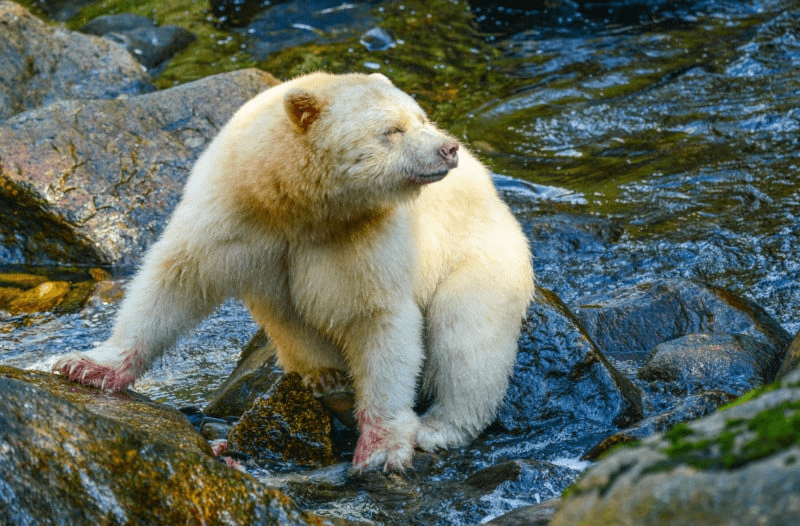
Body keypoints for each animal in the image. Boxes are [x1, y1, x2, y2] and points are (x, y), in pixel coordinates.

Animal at [54, 72, 532, 472]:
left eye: (420, 117)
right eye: (392, 130)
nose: (448, 148)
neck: (296, 202)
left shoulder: (367, 237)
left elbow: (380, 321)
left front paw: (380, 447)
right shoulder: (232, 215)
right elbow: (176, 280)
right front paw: (88, 366)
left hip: (480, 255)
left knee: (467, 339)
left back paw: (439, 426)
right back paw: (327, 380)